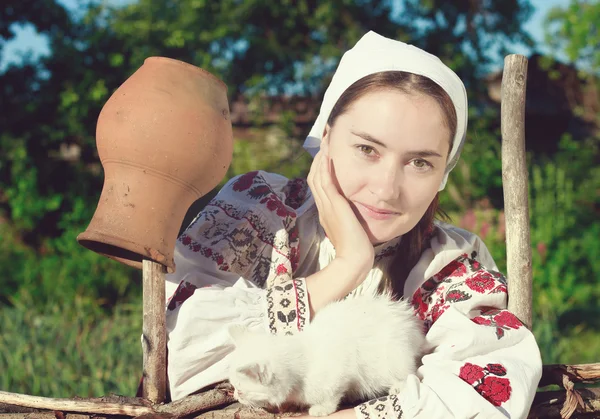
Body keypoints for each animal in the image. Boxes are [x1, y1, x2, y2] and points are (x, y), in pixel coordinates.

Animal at [226, 294, 426, 418]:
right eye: (234, 388)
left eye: (240, 390)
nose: (235, 395)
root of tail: (409, 322)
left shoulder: (339, 374)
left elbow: (332, 395)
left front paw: (321, 409)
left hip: (394, 356)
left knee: (409, 372)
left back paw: (397, 386)